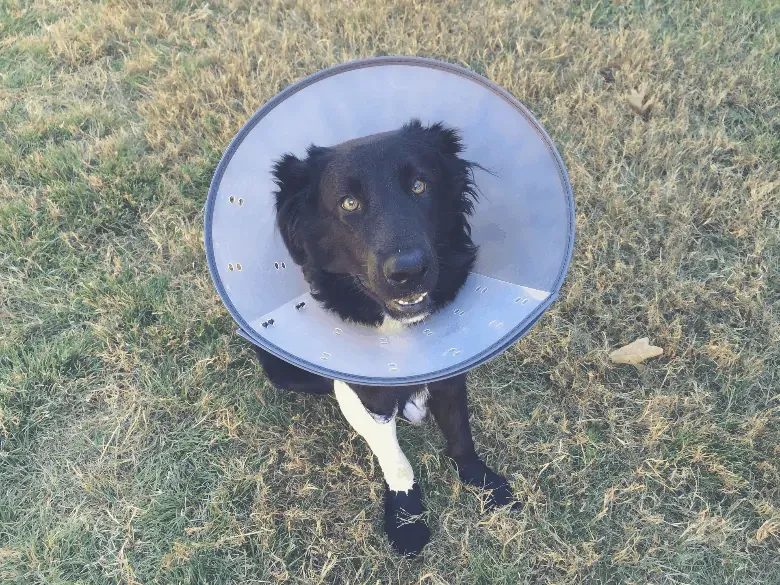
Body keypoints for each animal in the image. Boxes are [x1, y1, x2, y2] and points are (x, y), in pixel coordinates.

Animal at [253, 120, 519, 556]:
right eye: (348, 203)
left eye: (419, 186)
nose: (408, 272)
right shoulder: (368, 390)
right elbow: (391, 454)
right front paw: (406, 517)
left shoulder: (451, 364)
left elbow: (460, 430)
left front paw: (481, 480)